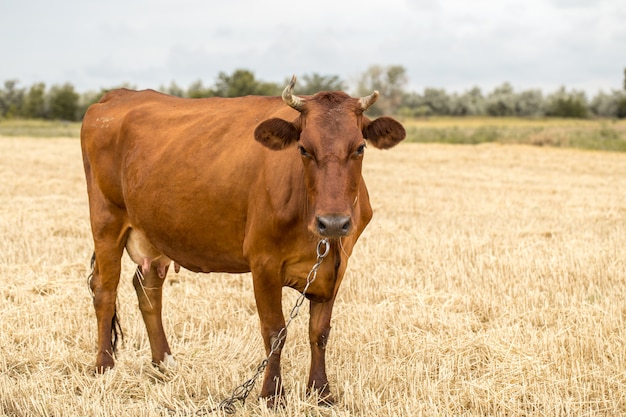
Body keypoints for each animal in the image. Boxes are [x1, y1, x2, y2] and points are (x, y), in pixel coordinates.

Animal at [80, 75, 404, 404]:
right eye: (303, 149)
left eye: (360, 148)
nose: (333, 222)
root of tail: (118, 96)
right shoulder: (264, 263)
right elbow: (275, 332)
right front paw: (272, 394)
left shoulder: (335, 267)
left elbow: (320, 331)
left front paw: (320, 390)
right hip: (106, 222)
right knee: (105, 290)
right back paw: (104, 366)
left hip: (153, 233)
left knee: (148, 290)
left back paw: (164, 363)